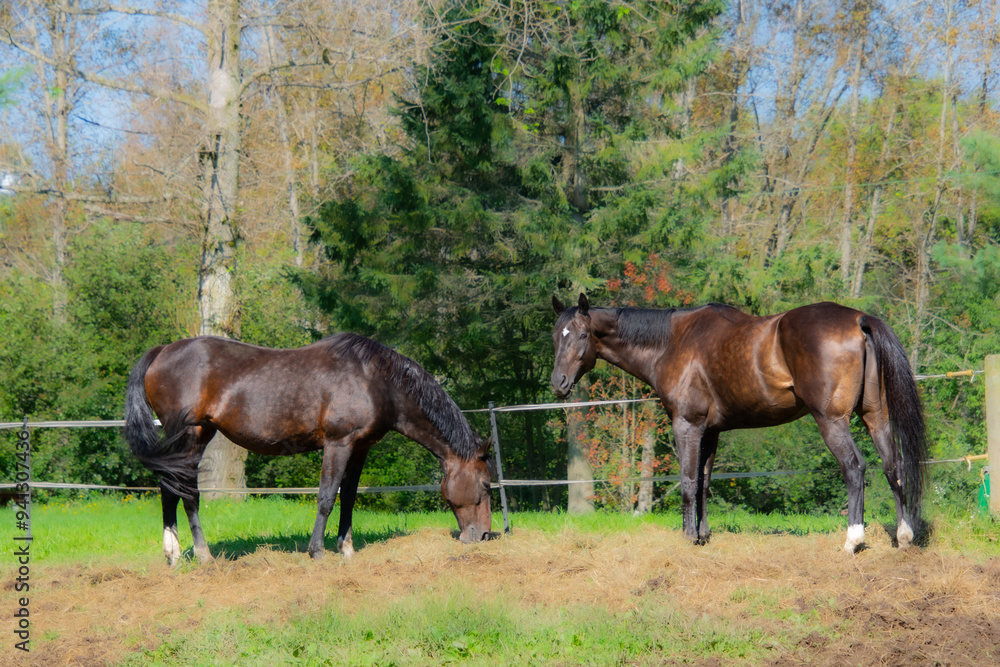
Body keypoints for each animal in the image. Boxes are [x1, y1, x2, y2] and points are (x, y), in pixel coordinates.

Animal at [124, 332, 493, 565]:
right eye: (487, 484)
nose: (485, 535)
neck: (375, 380)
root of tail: (162, 351)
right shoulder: (338, 443)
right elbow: (327, 496)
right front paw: (317, 551)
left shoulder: (359, 448)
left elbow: (348, 497)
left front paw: (346, 548)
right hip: (189, 434)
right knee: (184, 490)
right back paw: (200, 554)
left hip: (193, 437)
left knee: (172, 488)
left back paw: (174, 554)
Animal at [550, 294, 927, 554]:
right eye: (556, 335)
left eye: (582, 335)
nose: (558, 382)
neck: (673, 343)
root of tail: (859, 319)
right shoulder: (711, 431)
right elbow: (703, 482)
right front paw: (702, 535)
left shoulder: (687, 425)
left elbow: (688, 481)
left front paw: (688, 538)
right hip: (876, 417)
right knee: (893, 465)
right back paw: (904, 535)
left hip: (832, 421)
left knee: (854, 468)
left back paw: (853, 539)